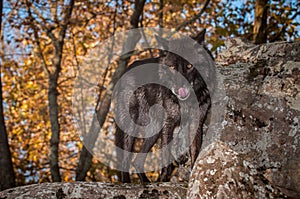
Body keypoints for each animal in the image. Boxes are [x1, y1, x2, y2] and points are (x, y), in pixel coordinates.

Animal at [114, 29, 213, 182]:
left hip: (154, 131)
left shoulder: (195, 124)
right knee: (125, 160)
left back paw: (146, 183)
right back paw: (127, 183)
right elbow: (166, 157)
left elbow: (195, 152)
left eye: (189, 66)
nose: (178, 87)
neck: (187, 101)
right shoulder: (168, 123)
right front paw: (163, 180)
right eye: (172, 67)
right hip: (131, 127)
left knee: (137, 161)